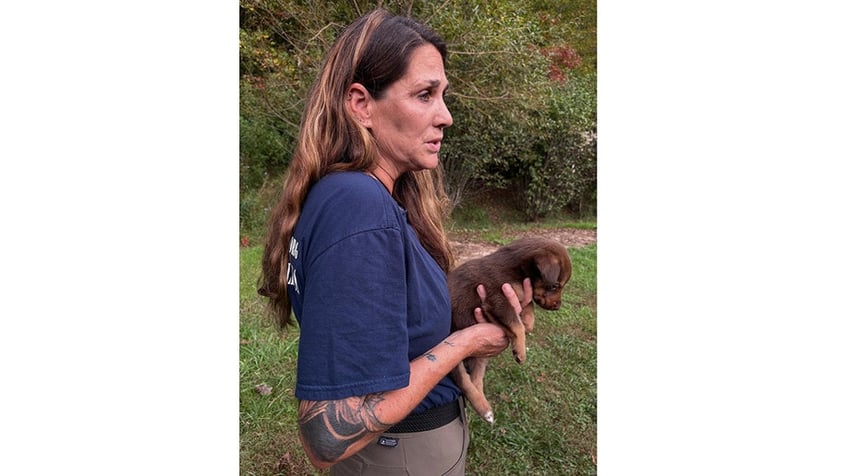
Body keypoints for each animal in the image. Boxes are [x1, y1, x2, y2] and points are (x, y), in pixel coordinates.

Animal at [448, 236, 572, 422]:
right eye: (555, 286)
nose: (558, 307)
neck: (517, 270)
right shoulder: (498, 300)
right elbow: (516, 324)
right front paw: (520, 351)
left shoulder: (516, 296)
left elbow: (528, 305)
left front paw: (528, 322)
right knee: (464, 381)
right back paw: (484, 409)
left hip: (481, 355)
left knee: (476, 380)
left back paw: (485, 410)